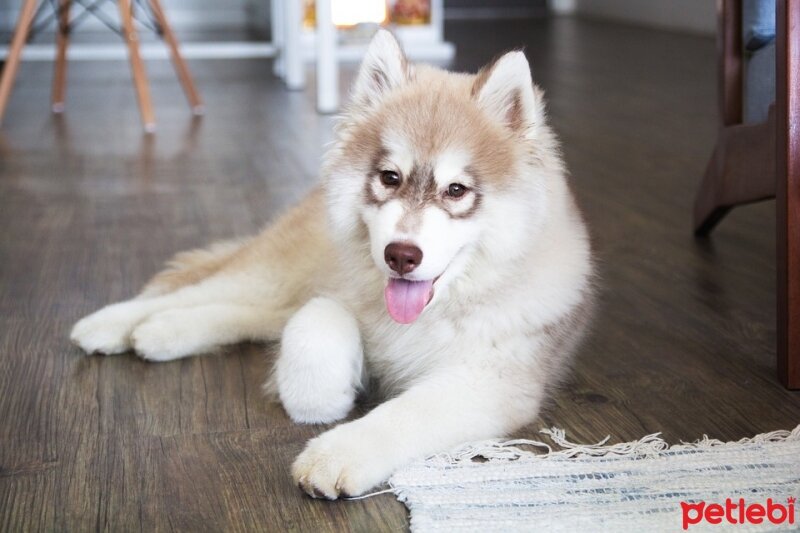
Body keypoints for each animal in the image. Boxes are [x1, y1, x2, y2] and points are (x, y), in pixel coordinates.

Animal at [70, 31, 592, 498]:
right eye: (389, 177)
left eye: (456, 190)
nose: (401, 255)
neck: (427, 316)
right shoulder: (334, 292)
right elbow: (317, 323)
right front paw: (321, 394)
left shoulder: (493, 381)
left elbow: (407, 412)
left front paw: (338, 453)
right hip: (281, 268)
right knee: (209, 291)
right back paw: (111, 324)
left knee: (245, 312)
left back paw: (162, 333)